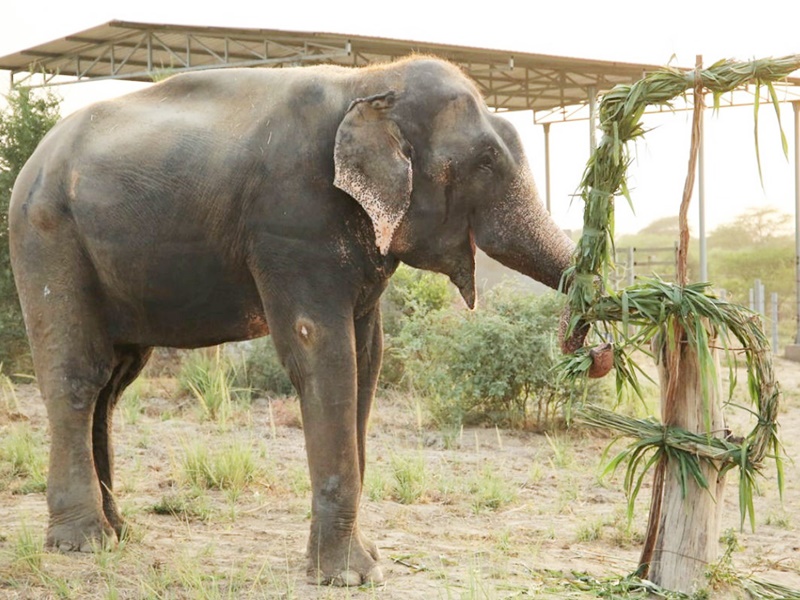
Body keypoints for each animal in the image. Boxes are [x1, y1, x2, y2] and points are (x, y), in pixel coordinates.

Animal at [9, 56, 588, 584]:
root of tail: (31, 163)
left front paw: (365, 563)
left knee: (114, 384)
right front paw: (349, 577)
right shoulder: (294, 223)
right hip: (48, 236)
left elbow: (367, 362)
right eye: (486, 161)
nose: (588, 349)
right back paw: (84, 544)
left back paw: (120, 532)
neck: (368, 81)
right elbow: (322, 352)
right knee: (78, 376)